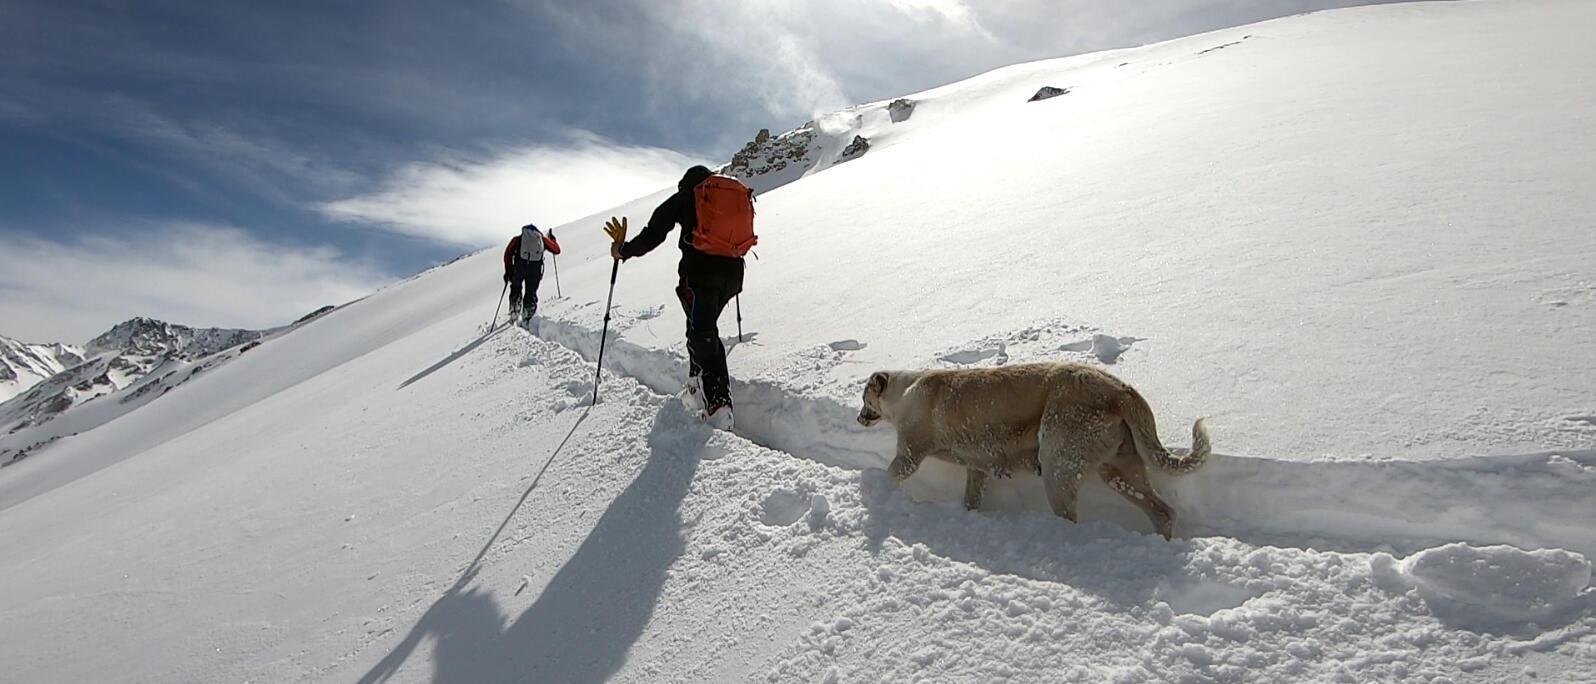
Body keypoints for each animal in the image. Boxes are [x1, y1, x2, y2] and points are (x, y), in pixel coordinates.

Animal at [861, 361, 1206, 538]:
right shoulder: (977, 468)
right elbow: (972, 497)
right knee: (1162, 511)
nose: (859, 417)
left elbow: (891, 471)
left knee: (1069, 514)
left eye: (865, 399)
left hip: (1058, 467)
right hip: (1120, 469)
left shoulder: (909, 454)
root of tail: (1121, 390)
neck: (903, 392)